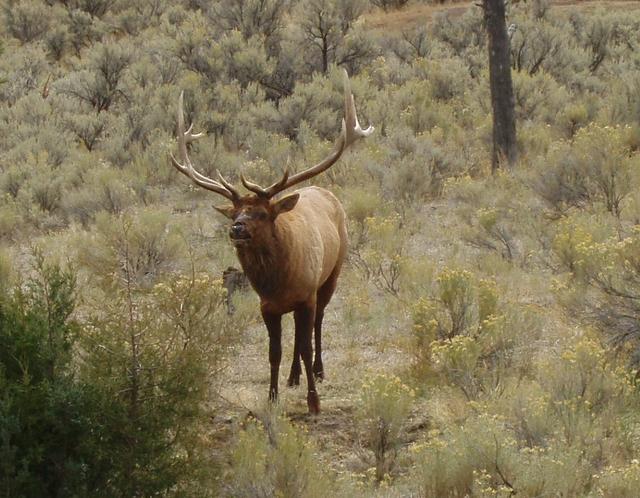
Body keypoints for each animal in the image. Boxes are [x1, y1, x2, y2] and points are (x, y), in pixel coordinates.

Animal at [171, 69, 376, 412]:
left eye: (262, 213)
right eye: (234, 212)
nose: (237, 229)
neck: (278, 280)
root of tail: (325, 191)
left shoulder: (307, 295)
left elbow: (306, 345)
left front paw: (314, 402)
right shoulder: (267, 306)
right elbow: (274, 352)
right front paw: (272, 397)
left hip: (332, 273)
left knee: (318, 325)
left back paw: (318, 371)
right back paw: (294, 377)